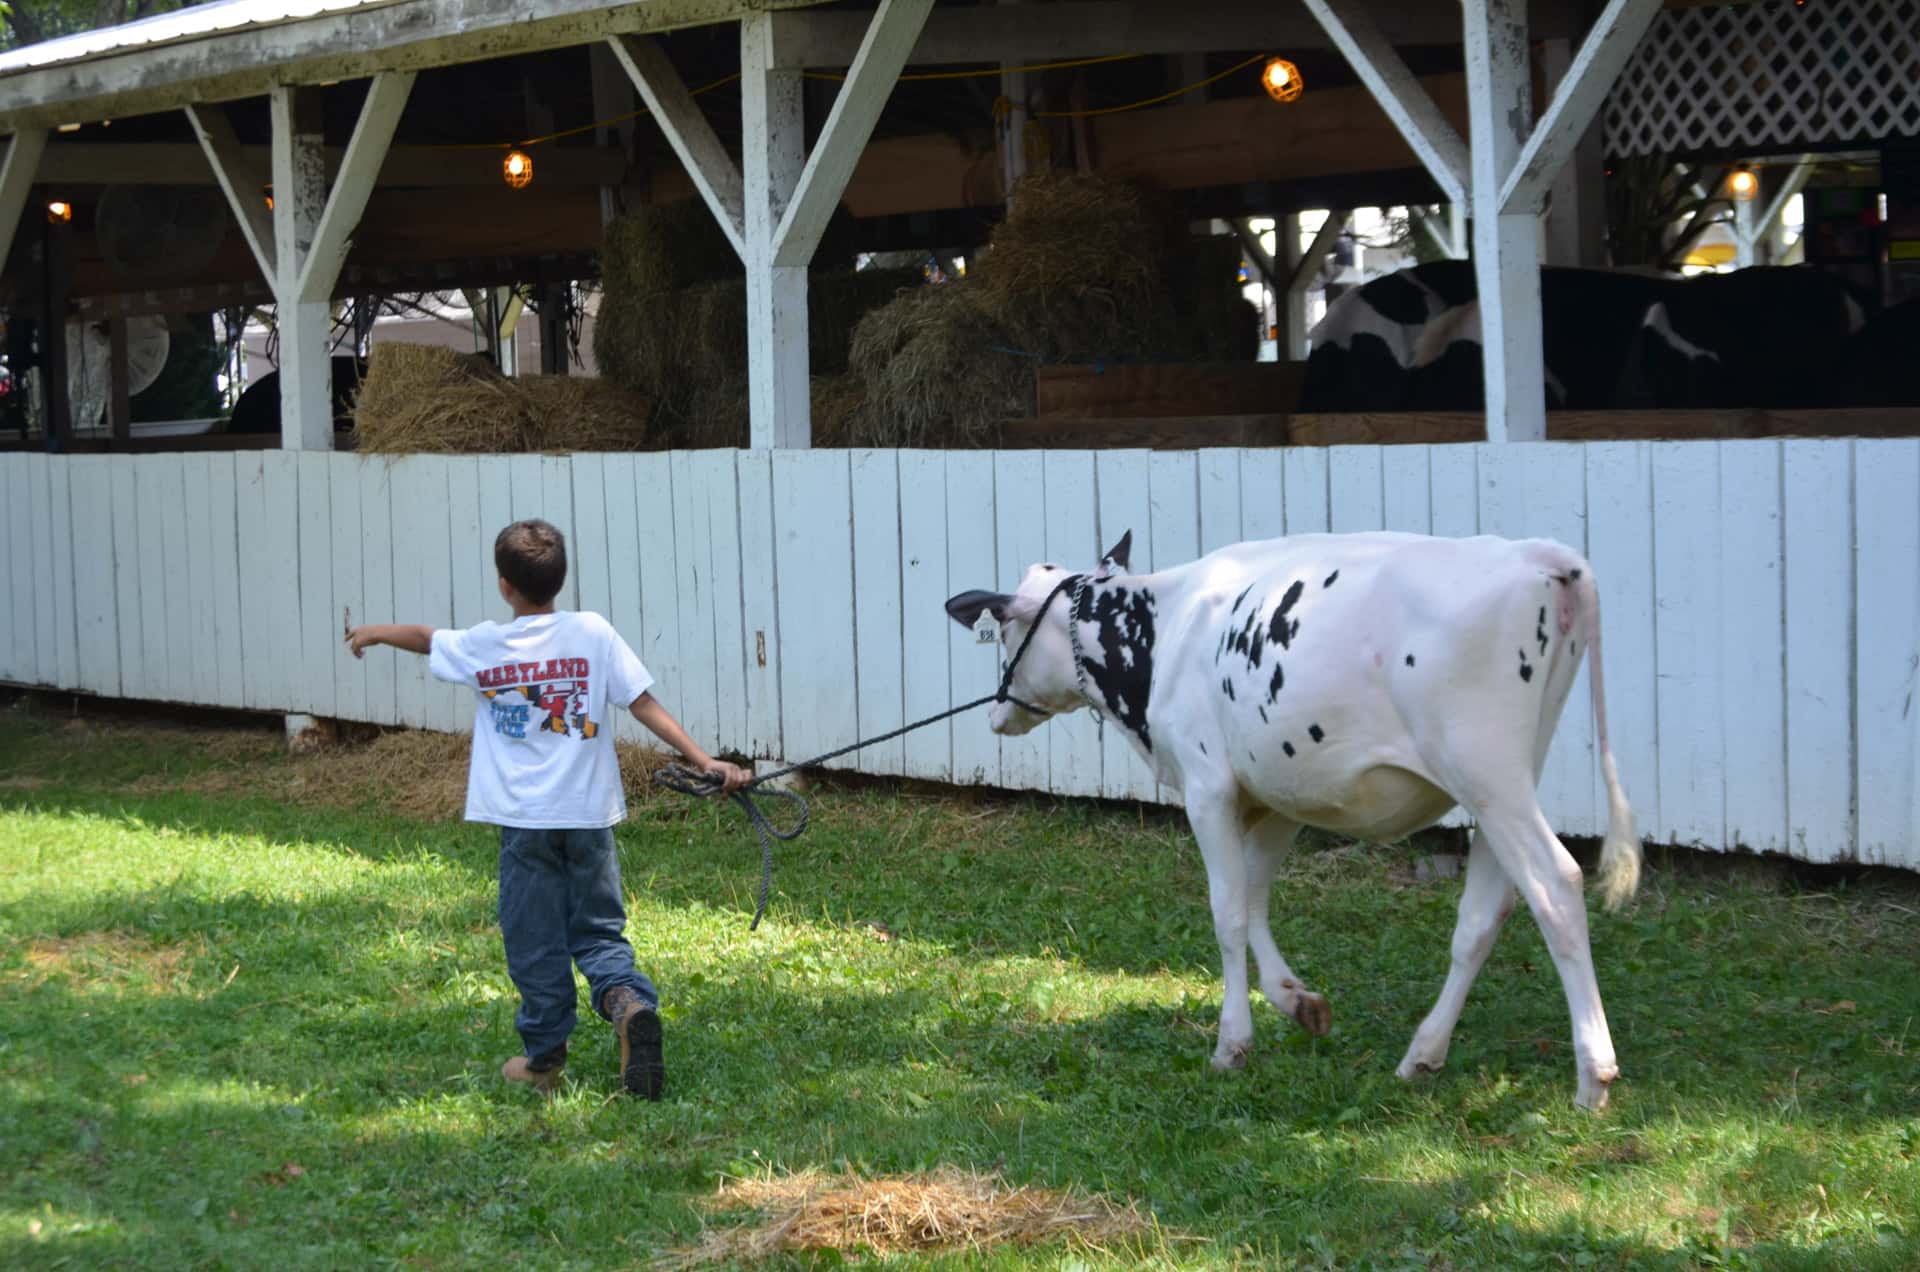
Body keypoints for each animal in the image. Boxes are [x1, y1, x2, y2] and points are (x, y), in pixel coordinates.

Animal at [946, 530, 1641, 1111]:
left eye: (1003, 633)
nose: (998, 712)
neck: (1166, 630)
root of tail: (1536, 554)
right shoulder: (1282, 792)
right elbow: (1255, 897)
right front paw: (1297, 1001)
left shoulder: (1207, 787)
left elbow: (1228, 911)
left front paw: (1232, 1041)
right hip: (1512, 773)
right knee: (1485, 912)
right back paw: (1423, 1053)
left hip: (1485, 766)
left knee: (1556, 884)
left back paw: (1593, 1074)